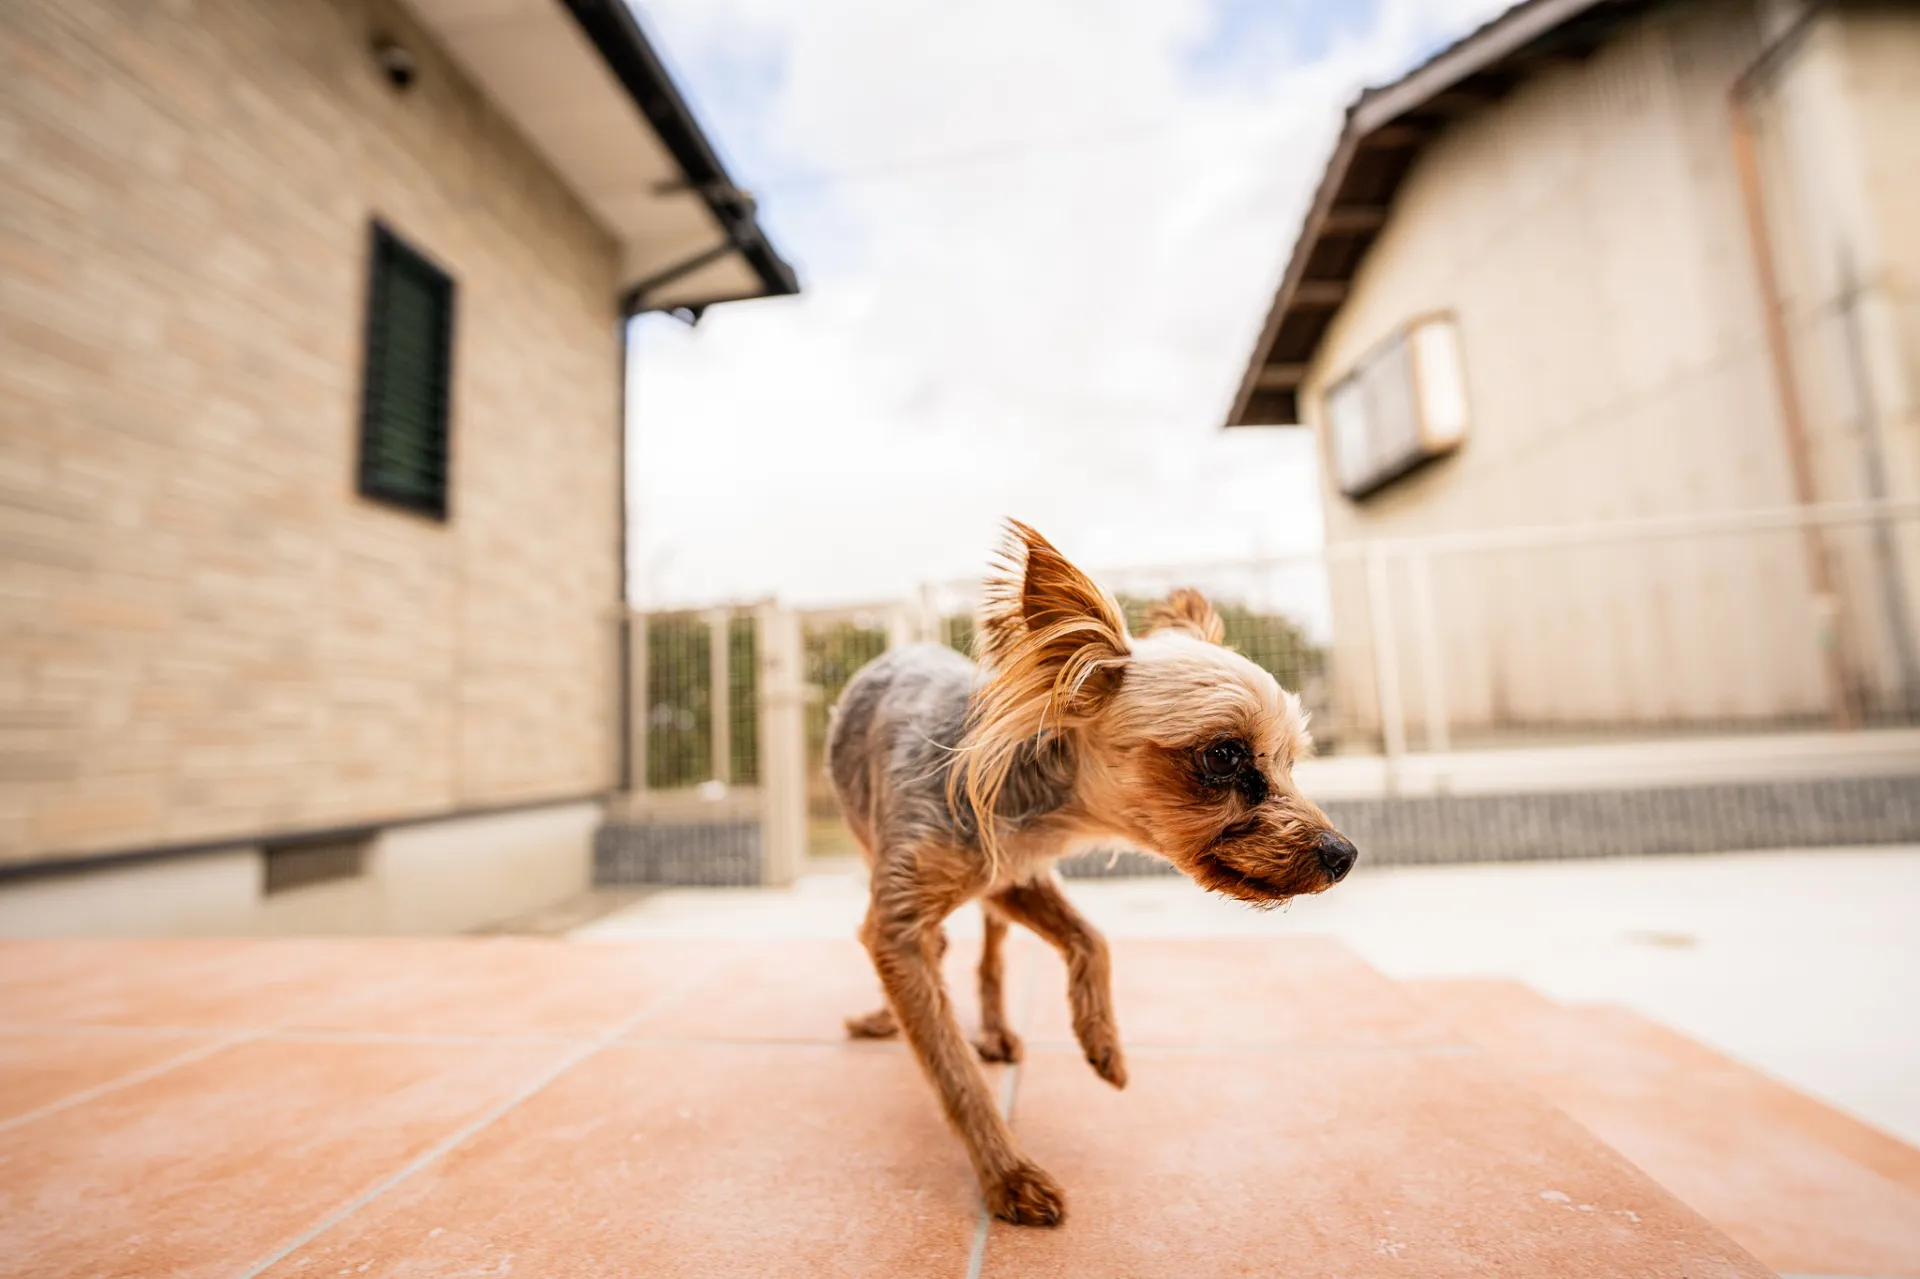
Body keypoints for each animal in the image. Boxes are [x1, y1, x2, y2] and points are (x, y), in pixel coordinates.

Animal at [821, 522, 1351, 1229]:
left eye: (1293, 763)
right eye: (1224, 755)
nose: (1343, 854)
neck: (1036, 804)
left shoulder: (1016, 876)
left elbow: (1092, 939)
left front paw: (1101, 1043)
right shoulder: (900, 918)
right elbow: (952, 1069)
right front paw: (1009, 1176)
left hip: (991, 895)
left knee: (990, 957)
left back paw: (994, 1030)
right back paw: (893, 1014)